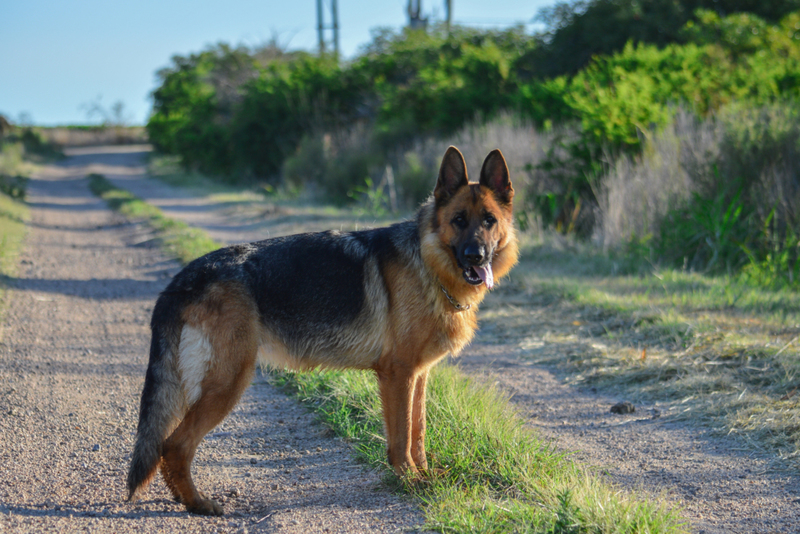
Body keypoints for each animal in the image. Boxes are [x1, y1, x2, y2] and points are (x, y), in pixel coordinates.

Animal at [126, 146, 520, 516]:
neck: (428, 262)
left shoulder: (418, 376)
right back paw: (198, 504)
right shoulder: (398, 375)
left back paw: (185, 499)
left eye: (489, 221)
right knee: (174, 445)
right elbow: (401, 437)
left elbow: (418, 432)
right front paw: (408, 480)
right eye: (458, 220)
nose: (475, 256)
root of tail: (185, 277)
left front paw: (423, 475)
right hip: (227, 382)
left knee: (169, 446)